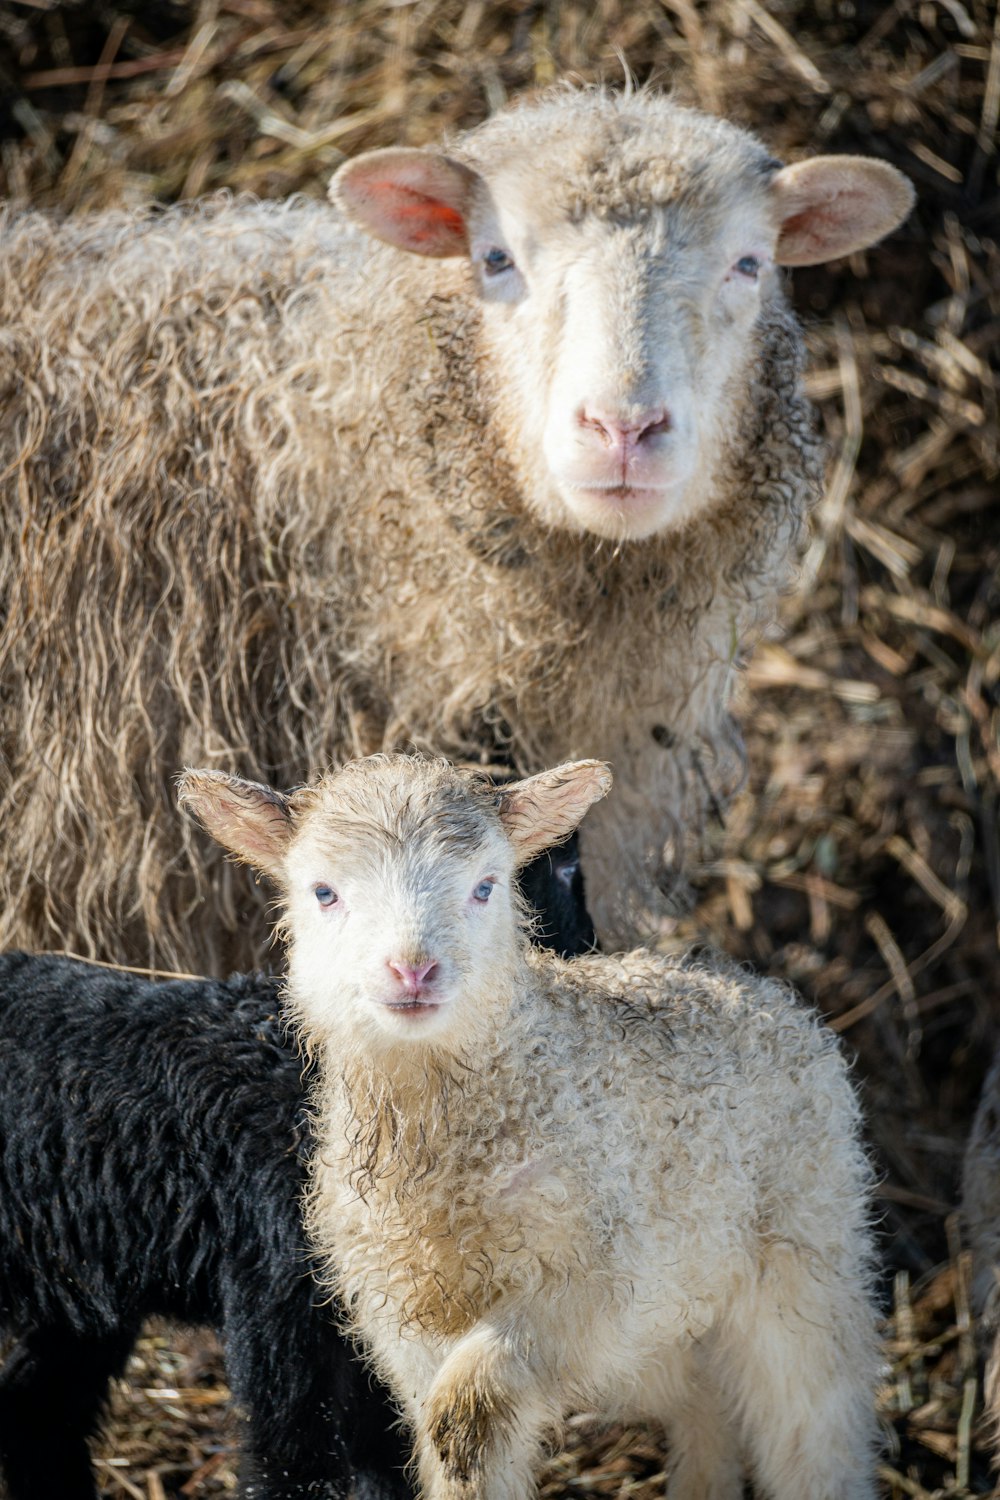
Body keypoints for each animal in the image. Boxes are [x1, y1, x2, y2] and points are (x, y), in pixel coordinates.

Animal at [182, 756, 881, 1500]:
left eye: (485, 886)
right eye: (324, 892)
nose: (413, 969)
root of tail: (758, 990)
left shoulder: (588, 1282)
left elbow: (467, 1416)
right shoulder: (399, 1316)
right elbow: (454, 1445)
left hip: (805, 1251)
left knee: (814, 1425)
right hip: (668, 1319)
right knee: (704, 1408)